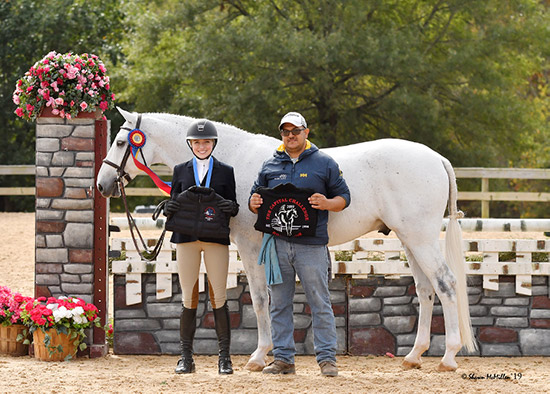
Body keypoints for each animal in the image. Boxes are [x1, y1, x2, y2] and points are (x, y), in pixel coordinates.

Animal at [98, 108, 478, 372]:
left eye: (121, 142)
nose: (102, 185)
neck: (233, 158)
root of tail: (436, 157)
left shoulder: (250, 247)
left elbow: (260, 300)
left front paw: (257, 356)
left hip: (421, 238)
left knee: (446, 284)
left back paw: (448, 357)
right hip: (410, 240)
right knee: (426, 289)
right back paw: (414, 356)